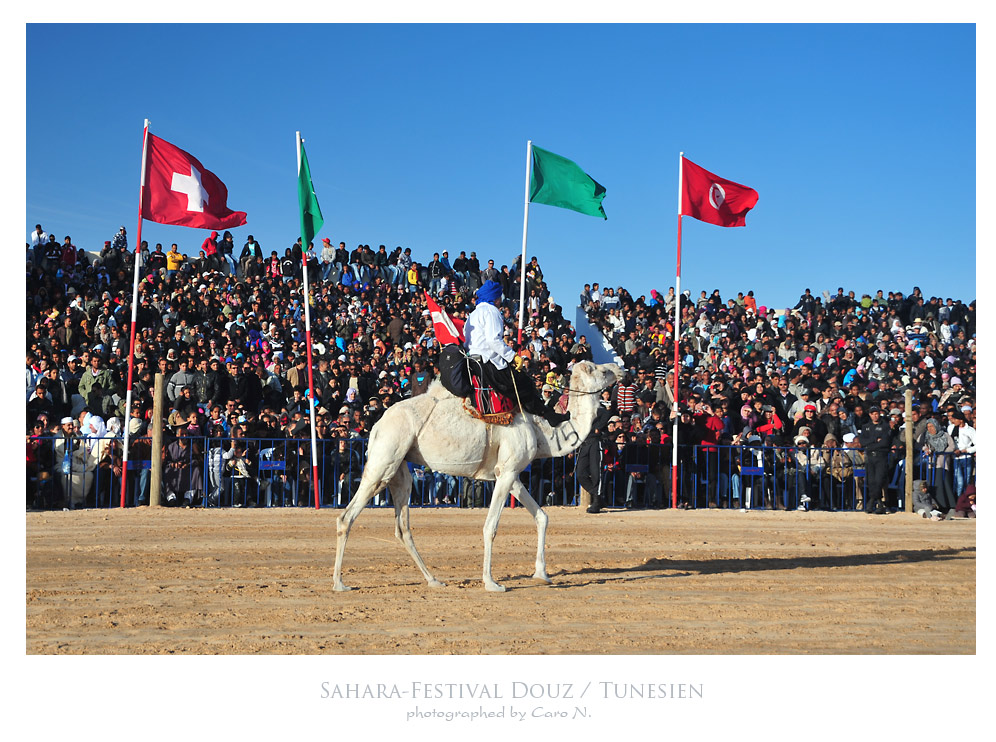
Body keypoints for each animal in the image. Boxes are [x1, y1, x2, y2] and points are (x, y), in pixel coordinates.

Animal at [332, 360, 624, 592]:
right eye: (600, 370)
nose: (620, 368)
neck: (542, 433)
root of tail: (377, 426)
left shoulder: (510, 473)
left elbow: (542, 516)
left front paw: (542, 574)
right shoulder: (507, 472)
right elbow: (490, 527)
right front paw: (492, 583)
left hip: (400, 470)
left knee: (402, 527)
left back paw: (434, 580)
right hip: (384, 461)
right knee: (347, 517)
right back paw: (339, 583)